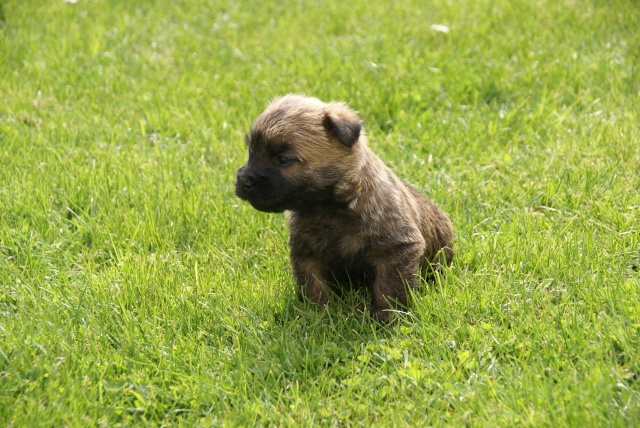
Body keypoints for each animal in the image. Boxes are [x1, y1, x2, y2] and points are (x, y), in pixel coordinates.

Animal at [236, 93, 456, 320]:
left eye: (282, 159)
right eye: (251, 151)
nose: (244, 181)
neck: (330, 208)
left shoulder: (395, 249)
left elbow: (388, 288)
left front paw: (385, 319)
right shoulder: (307, 255)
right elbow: (314, 287)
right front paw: (317, 315)